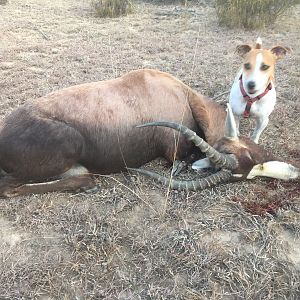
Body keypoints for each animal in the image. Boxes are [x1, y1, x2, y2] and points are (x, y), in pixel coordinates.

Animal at [0, 69, 296, 197]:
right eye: (245, 153)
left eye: (251, 170)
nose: (294, 171)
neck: (181, 95)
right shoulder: (173, 151)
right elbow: (181, 159)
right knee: (11, 188)